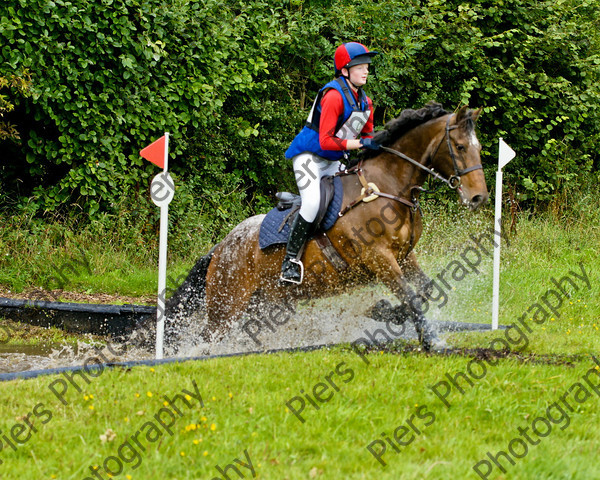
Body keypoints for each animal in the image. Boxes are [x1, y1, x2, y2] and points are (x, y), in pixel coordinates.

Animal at [163, 103, 488, 352]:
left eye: (479, 148)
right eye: (460, 147)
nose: (478, 197)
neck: (389, 188)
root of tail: (222, 247)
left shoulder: (405, 257)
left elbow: (425, 291)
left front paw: (385, 311)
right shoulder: (379, 258)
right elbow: (411, 297)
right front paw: (432, 341)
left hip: (262, 303)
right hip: (226, 306)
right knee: (206, 338)